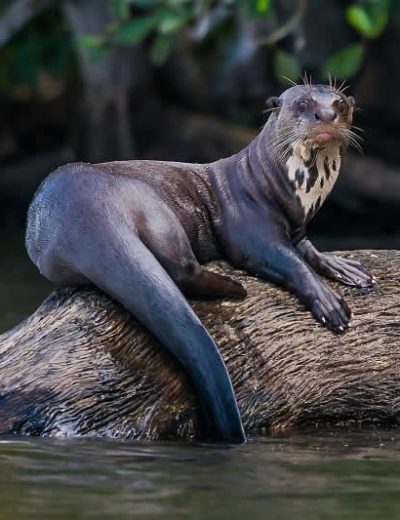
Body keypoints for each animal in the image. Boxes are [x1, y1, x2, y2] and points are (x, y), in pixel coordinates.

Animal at [25, 80, 376, 442]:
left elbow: (307, 250)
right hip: (153, 206)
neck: (278, 187)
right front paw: (328, 302)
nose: (327, 115)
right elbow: (287, 261)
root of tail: (82, 211)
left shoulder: (297, 228)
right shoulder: (249, 228)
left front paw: (344, 268)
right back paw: (234, 288)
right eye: (303, 104)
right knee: (181, 268)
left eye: (340, 104)